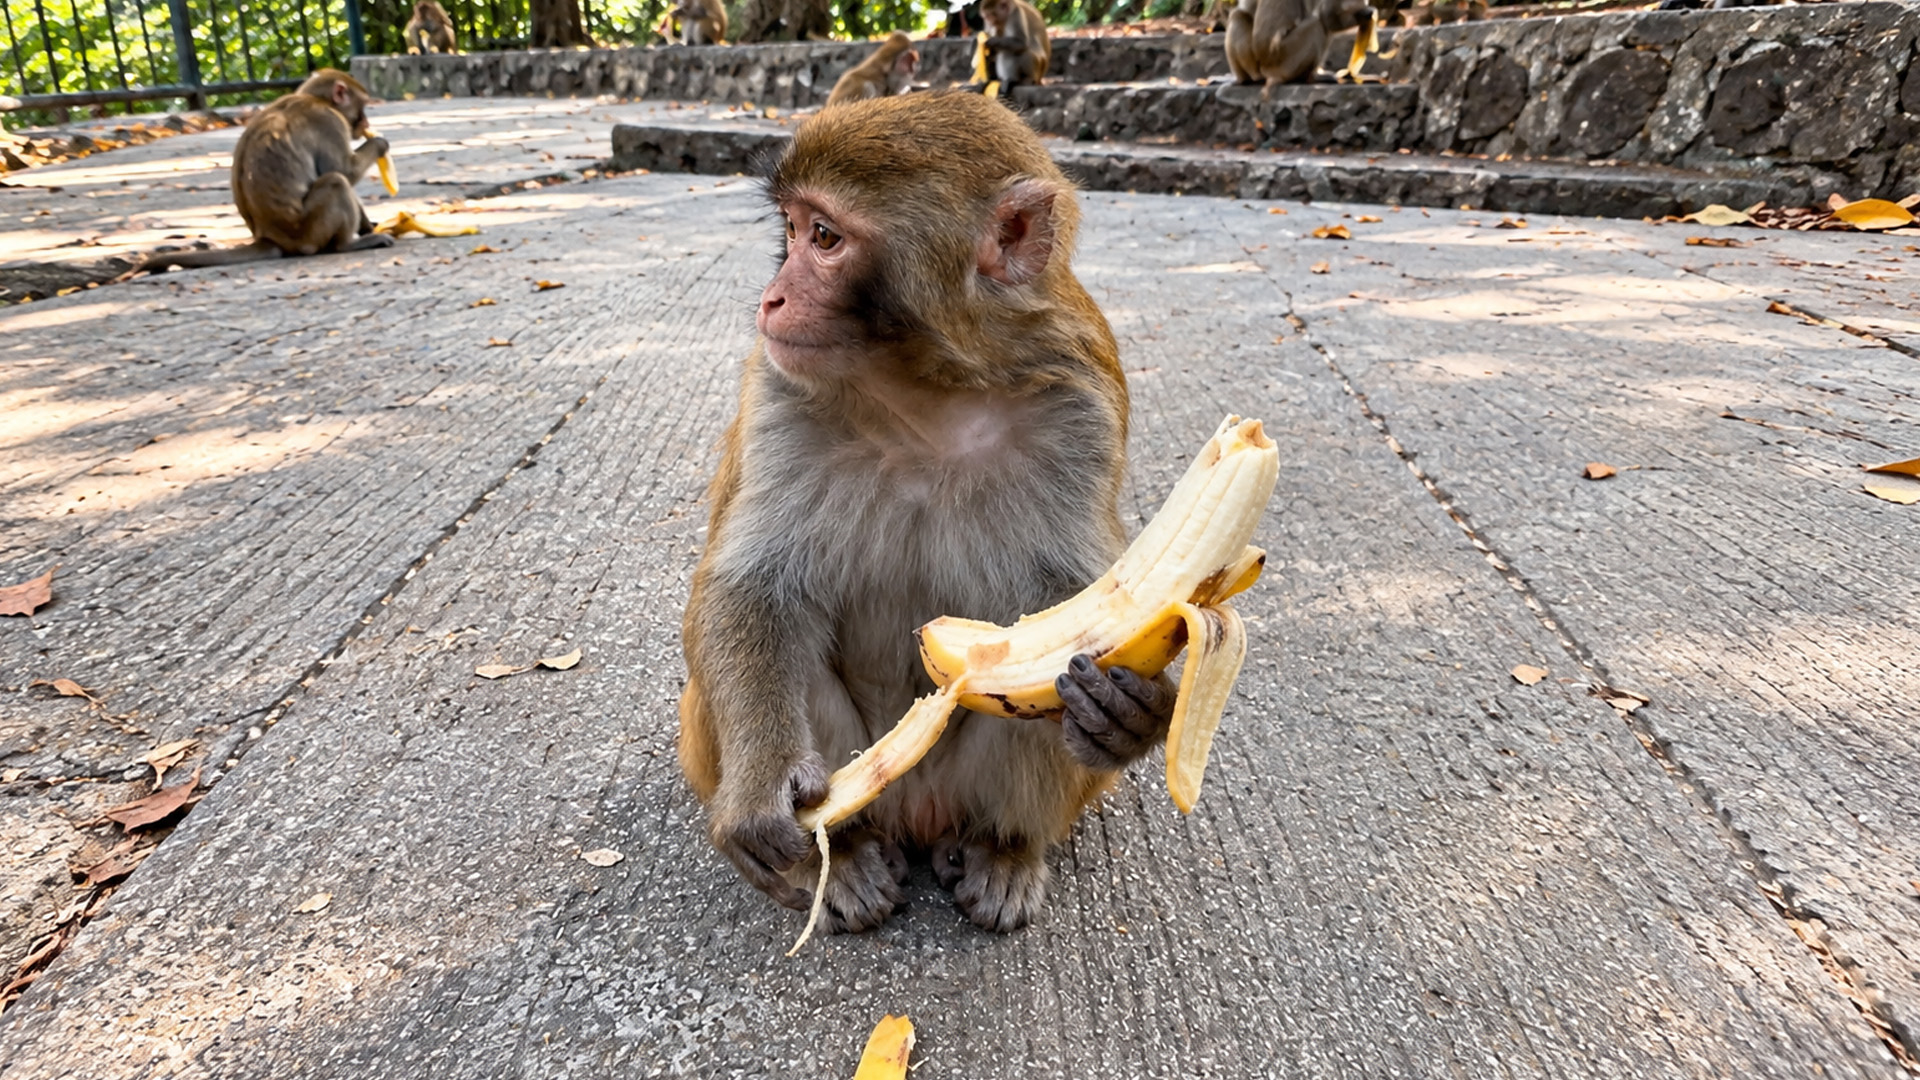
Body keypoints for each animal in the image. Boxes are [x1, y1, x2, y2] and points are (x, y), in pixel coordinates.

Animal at [135, 70, 392, 273]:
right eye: (363, 107)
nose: (366, 124)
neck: (313, 98)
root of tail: (267, 237)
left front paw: (368, 225)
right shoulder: (330, 122)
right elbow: (344, 171)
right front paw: (379, 143)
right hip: (306, 230)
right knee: (335, 181)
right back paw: (346, 245)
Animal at [678, 92, 1178, 936]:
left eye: (824, 237)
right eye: (792, 230)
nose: (773, 297)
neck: (922, 394)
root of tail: (912, 815)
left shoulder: (1081, 401)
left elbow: (1069, 594)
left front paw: (1134, 711)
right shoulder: (776, 389)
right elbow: (754, 587)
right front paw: (760, 790)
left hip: (958, 786)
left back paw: (1000, 851)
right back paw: (844, 859)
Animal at [1226, 0, 1373, 87]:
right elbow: (1328, 17)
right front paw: (1363, 14)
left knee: (1238, 15)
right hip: (1283, 60)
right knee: (1316, 25)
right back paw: (1309, 78)